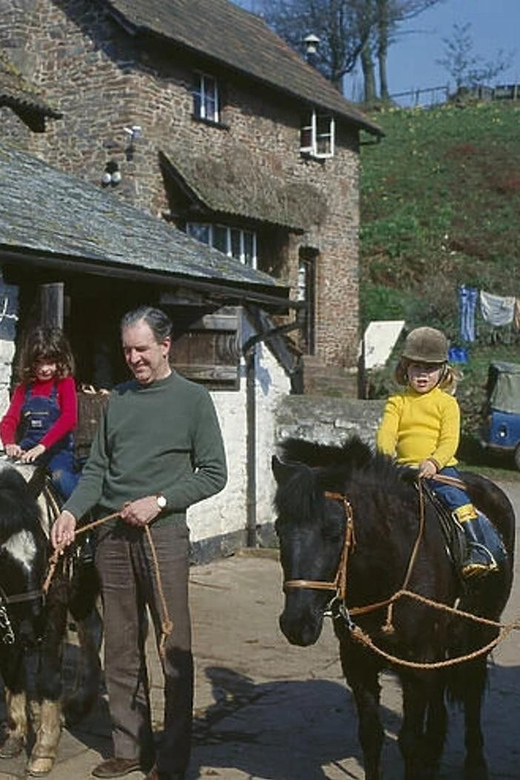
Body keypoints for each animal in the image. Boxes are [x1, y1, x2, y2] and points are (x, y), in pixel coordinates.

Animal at [0, 460, 100, 776]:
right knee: (92, 628)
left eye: (44, 549)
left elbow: (47, 678)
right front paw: (15, 734)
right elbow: (11, 669)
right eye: (1, 557)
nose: (33, 631)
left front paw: (43, 750)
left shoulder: (54, 604)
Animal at [272, 438, 516, 780]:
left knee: (472, 688)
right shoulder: (357, 660)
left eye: (334, 532)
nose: (297, 623)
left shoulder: (416, 664)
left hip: (481, 628)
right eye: (279, 530)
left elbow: (409, 741)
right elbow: (371, 735)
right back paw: (434, 753)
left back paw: (475, 763)